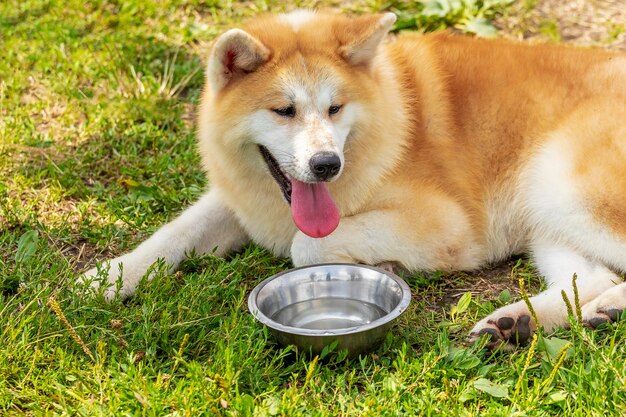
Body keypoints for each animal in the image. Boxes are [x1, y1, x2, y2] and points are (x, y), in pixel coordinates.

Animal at [81, 10, 624, 348]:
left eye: (335, 108)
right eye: (283, 111)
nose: (326, 165)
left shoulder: (449, 225)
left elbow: (304, 246)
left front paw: (384, 264)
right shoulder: (243, 203)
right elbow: (176, 233)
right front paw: (108, 278)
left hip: (558, 184)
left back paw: (603, 308)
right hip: (543, 211)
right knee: (593, 278)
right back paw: (517, 322)